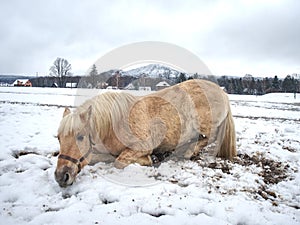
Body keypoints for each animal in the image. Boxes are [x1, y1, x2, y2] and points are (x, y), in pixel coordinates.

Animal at [54, 79, 237, 186]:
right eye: (59, 139)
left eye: (80, 137)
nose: (61, 176)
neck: (114, 123)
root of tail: (221, 91)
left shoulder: (142, 145)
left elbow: (119, 161)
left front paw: (151, 159)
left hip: (207, 127)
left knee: (210, 138)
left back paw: (188, 151)